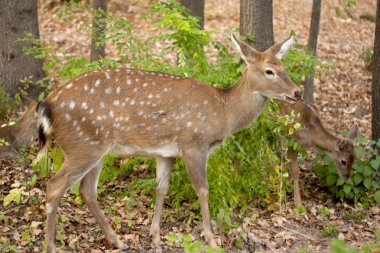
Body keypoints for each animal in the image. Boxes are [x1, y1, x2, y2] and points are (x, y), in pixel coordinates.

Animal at [11, 34, 302, 252]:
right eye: (269, 71)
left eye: (285, 68)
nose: (297, 92)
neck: (224, 112)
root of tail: (47, 105)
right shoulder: (193, 143)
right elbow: (203, 191)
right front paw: (211, 240)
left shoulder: (166, 152)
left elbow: (162, 189)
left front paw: (155, 239)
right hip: (83, 146)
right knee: (54, 187)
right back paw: (52, 246)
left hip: (95, 148)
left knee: (86, 191)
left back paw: (118, 241)